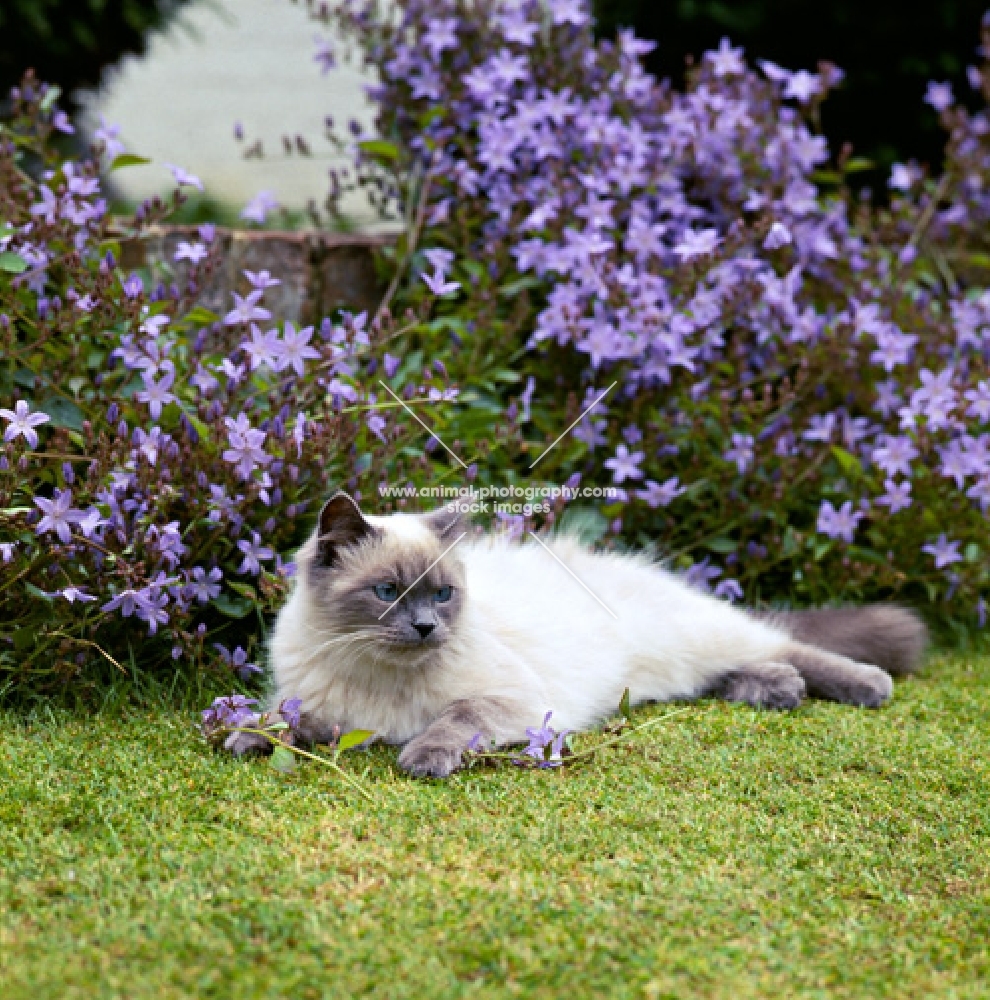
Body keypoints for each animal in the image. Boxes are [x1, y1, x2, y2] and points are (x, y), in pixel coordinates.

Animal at [225, 496, 928, 776]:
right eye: (387, 592)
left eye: (442, 595)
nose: (426, 626)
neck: (378, 672)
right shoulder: (318, 704)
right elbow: (281, 715)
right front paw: (244, 738)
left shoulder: (511, 701)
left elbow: (454, 717)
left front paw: (423, 757)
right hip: (671, 669)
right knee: (746, 666)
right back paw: (776, 690)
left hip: (694, 636)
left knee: (780, 640)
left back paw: (865, 685)